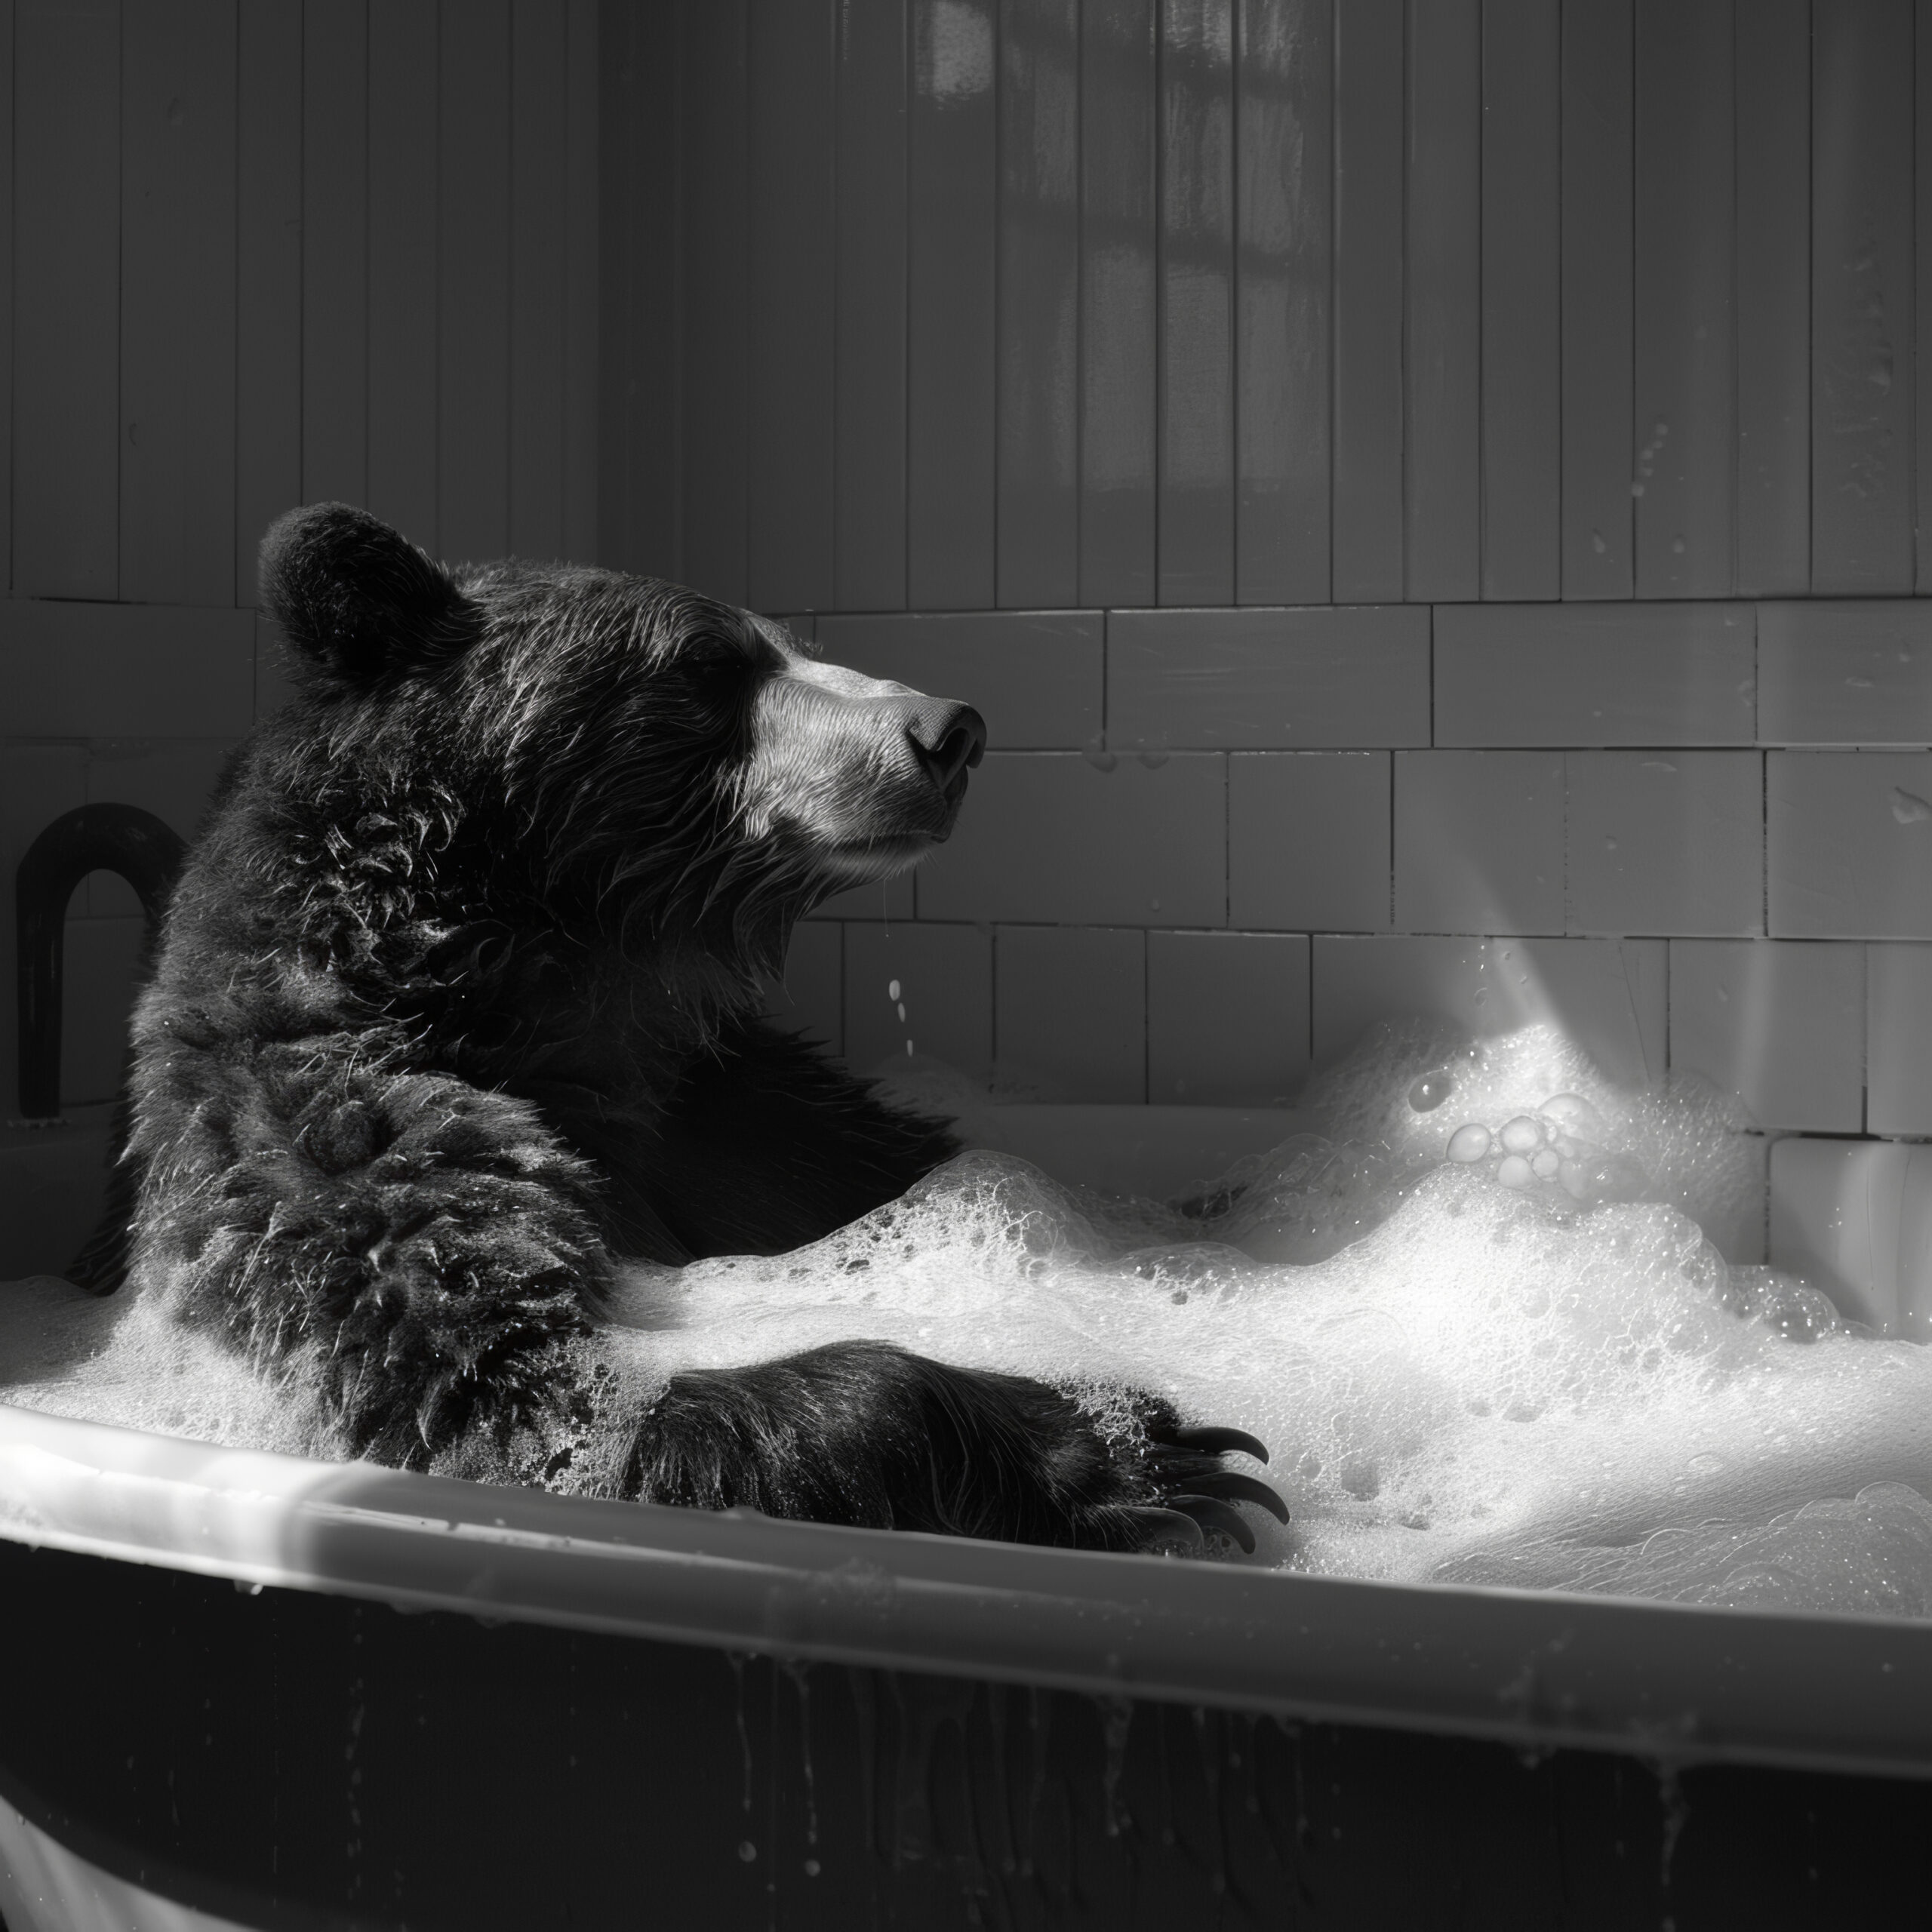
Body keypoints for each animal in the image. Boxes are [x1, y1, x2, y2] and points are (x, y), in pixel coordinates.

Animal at [119, 504, 1285, 1552]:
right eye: (710, 660)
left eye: (791, 640)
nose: (949, 732)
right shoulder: (336, 1142)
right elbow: (522, 1394)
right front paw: (1128, 1446)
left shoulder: (744, 1115)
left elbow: (934, 1172)